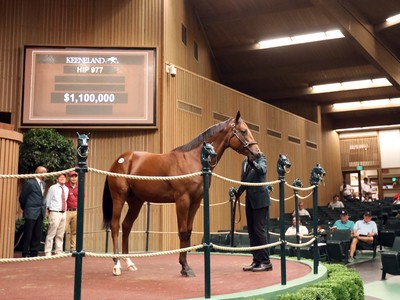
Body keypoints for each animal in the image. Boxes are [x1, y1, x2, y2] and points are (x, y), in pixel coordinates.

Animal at [101, 112, 260, 276]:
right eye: (243, 131)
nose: (257, 153)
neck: (193, 160)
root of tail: (119, 161)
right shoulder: (182, 200)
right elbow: (182, 232)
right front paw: (185, 267)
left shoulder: (195, 202)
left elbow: (188, 232)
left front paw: (185, 266)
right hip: (119, 198)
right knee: (115, 226)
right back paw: (117, 265)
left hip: (136, 201)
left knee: (126, 226)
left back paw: (129, 262)